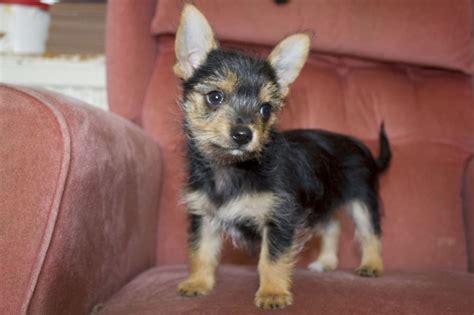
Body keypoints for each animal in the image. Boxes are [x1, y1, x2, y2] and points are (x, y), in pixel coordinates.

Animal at [176, 4, 390, 312]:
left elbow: (272, 259)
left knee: (370, 233)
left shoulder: (280, 218)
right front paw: (198, 283)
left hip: (362, 199)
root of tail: (362, 147)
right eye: (215, 97)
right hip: (323, 201)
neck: (233, 169)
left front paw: (273, 293)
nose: (243, 134)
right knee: (333, 226)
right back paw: (326, 262)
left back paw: (372, 265)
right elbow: (201, 251)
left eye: (265, 109)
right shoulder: (204, 215)